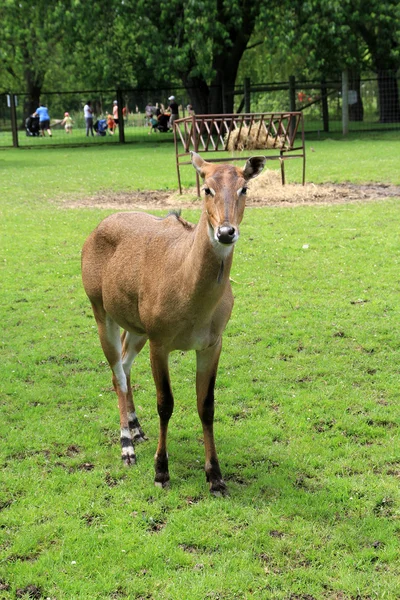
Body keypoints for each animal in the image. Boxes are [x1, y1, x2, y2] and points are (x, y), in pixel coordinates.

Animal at [81, 149, 266, 492]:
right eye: (206, 188)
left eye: (244, 188)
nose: (226, 232)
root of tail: (97, 228)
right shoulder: (160, 341)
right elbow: (165, 403)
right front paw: (161, 471)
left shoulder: (212, 344)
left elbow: (206, 405)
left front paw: (216, 476)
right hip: (102, 311)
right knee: (117, 372)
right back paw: (127, 446)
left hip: (137, 327)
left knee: (124, 365)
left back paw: (137, 428)